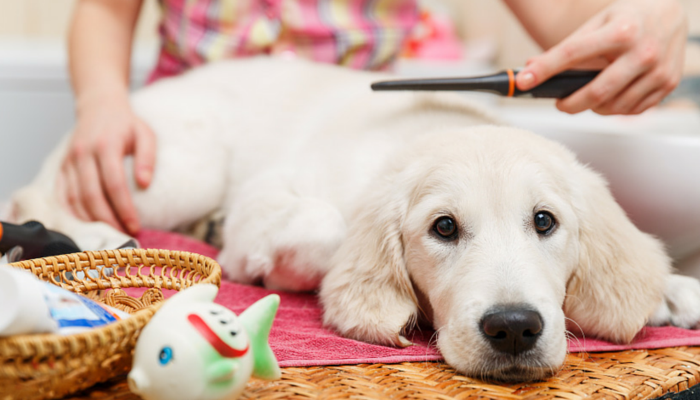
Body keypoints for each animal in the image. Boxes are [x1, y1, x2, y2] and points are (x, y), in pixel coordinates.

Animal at [9, 57, 700, 382]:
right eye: (443, 228)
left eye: (545, 221)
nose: (513, 329)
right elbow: (326, 228)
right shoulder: (269, 196)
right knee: (40, 197)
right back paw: (97, 236)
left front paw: (676, 291)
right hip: (178, 171)